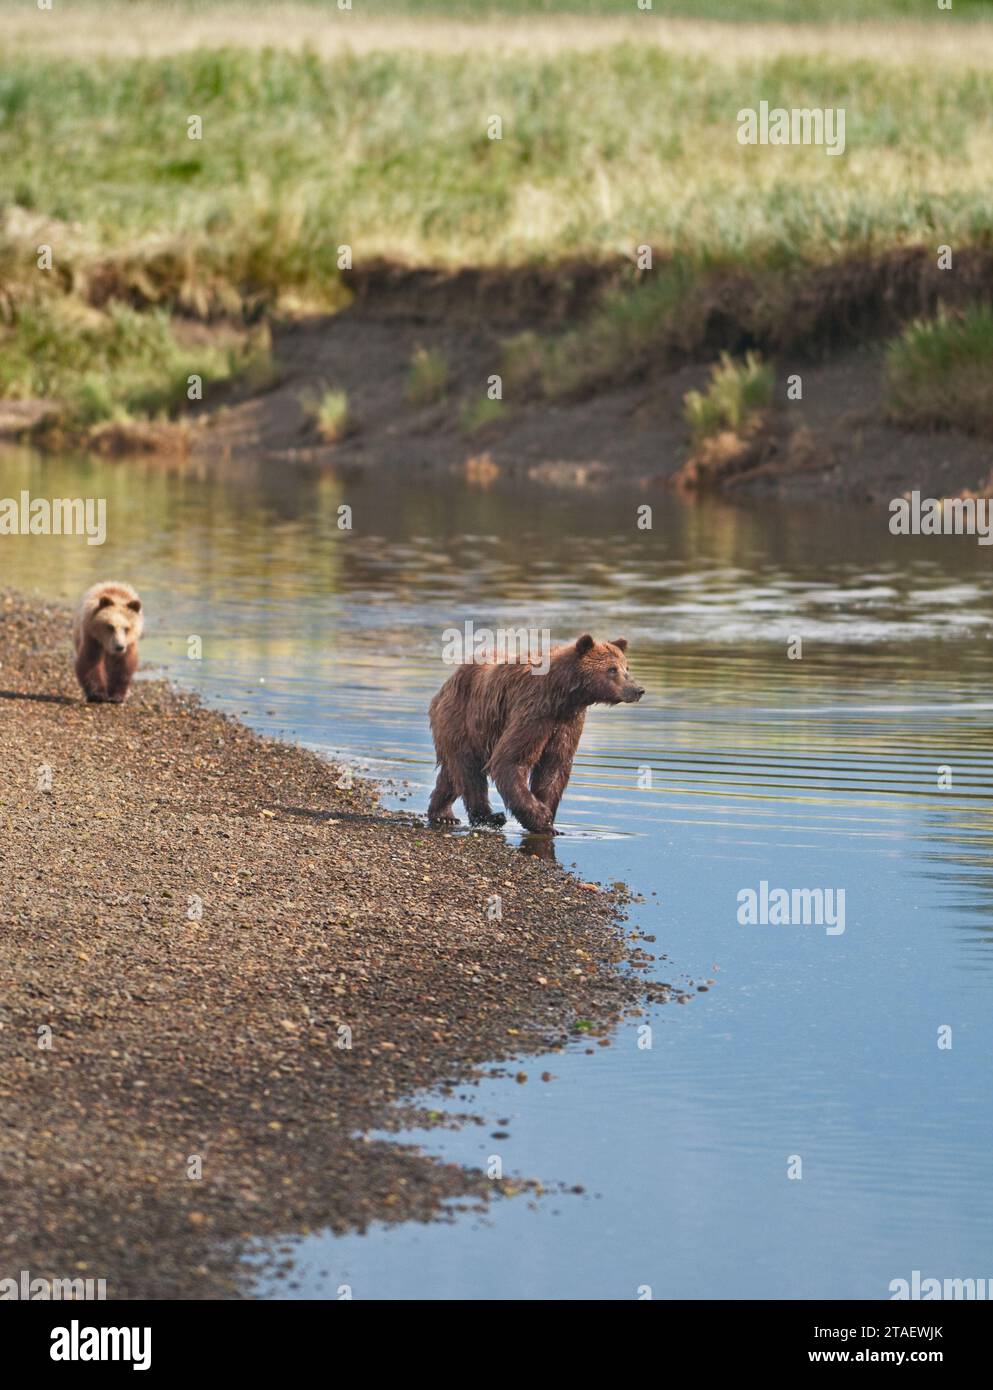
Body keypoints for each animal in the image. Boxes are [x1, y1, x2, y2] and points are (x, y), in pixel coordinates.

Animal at [427, 634, 644, 834]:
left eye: (626, 667)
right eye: (612, 669)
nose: (638, 689)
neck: (564, 694)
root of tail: (448, 682)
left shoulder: (567, 722)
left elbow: (554, 766)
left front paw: (548, 816)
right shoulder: (534, 709)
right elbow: (511, 759)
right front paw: (541, 818)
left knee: (452, 774)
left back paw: (442, 814)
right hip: (462, 718)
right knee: (469, 771)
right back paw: (489, 817)